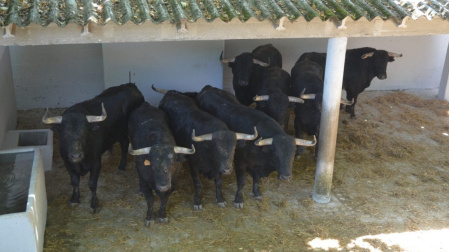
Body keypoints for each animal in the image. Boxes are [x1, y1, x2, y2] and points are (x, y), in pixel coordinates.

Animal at [41, 82, 143, 213]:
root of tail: (131, 86)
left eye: (85, 132)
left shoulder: (96, 162)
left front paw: (94, 204)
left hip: (126, 132)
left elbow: (92, 184)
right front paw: (74, 199)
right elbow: (74, 182)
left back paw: (121, 166)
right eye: (64, 134)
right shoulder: (67, 163)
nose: (76, 155)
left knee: (125, 146)